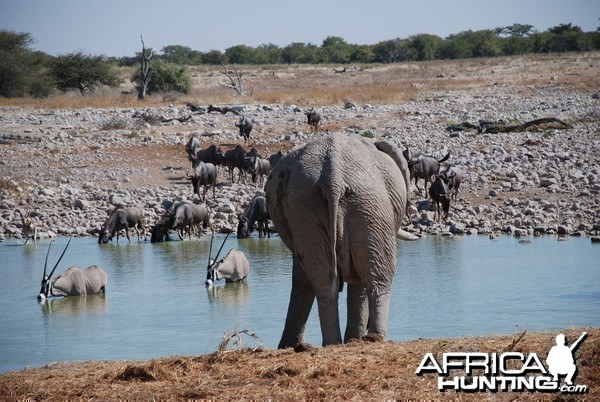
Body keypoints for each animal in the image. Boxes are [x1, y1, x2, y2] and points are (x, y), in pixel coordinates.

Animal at [264, 133, 414, 348]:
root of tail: (332, 179)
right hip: (370, 205)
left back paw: (334, 344)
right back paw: (374, 339)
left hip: (307, 208)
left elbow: (303, 280)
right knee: (378, 278)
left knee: (325, 282)